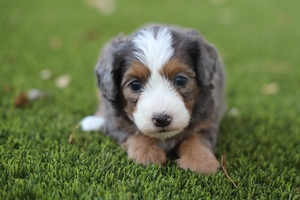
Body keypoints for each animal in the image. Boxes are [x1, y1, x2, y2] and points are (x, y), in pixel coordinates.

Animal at [80, 24, 225, 175]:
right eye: (135, 84)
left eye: (180, 80)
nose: (162, 119)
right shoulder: (116, 122)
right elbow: (135, 131)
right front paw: (147, 154)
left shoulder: (207, 121)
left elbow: (195, 138)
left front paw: (200, 161)